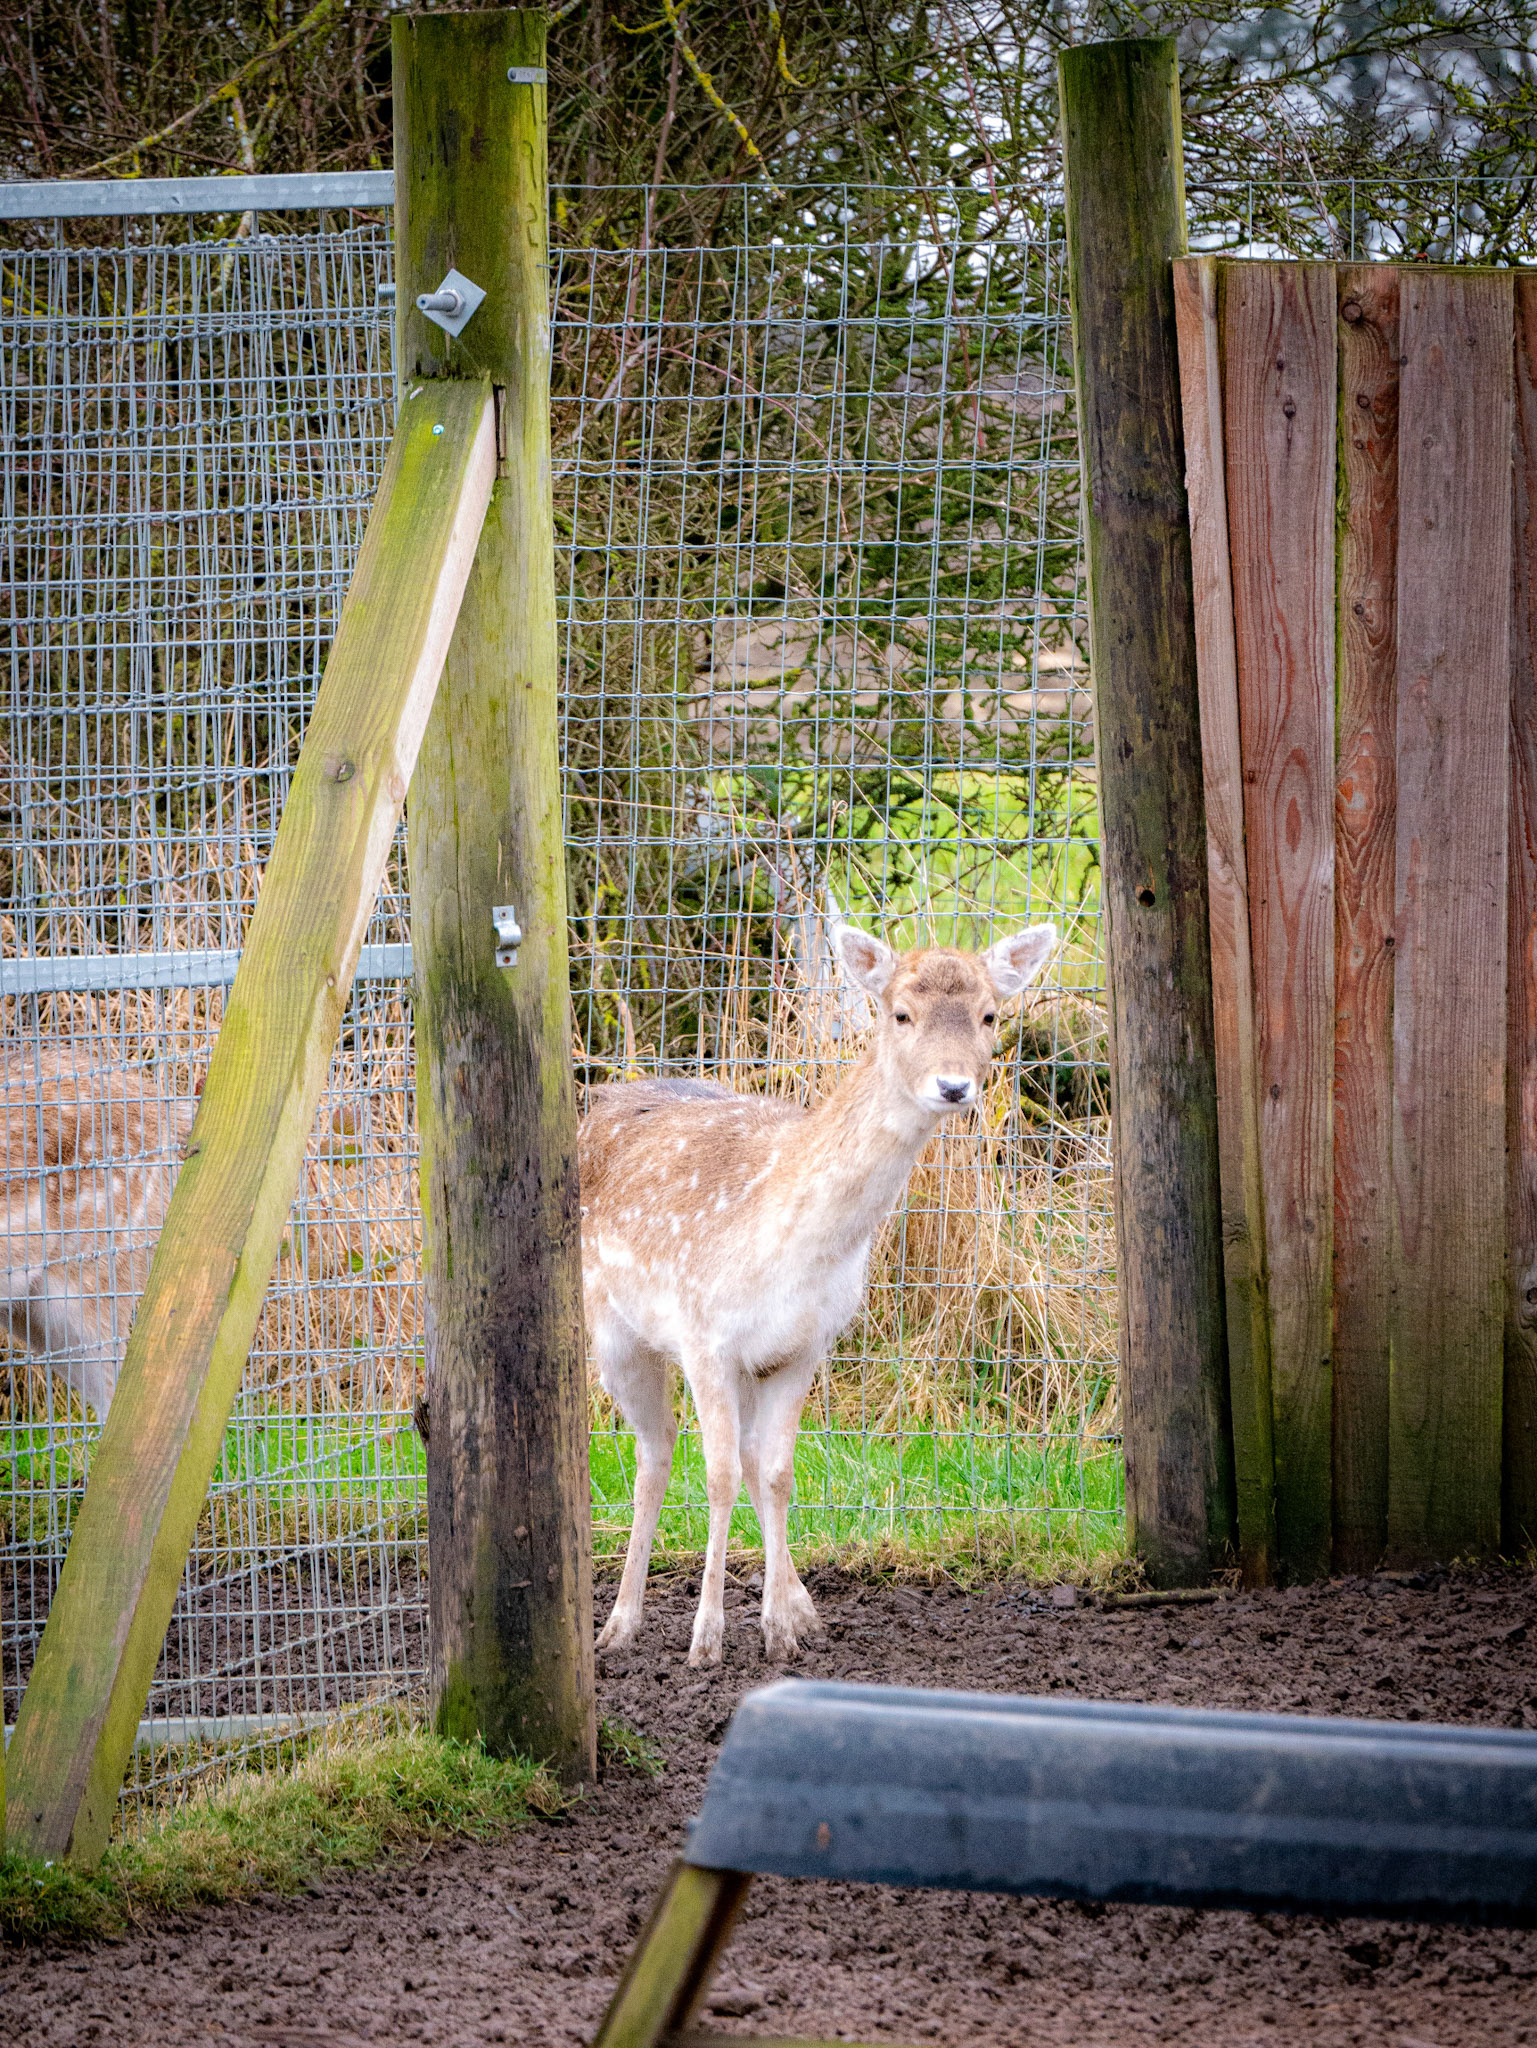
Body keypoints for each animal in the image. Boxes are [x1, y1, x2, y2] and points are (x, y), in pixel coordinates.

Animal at [582, 916, 1058, 1667]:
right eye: (900, 1013)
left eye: (989, 1015)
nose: (954, 1086)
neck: (793, 1249)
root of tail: (597, 1098)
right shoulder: (704, 1335)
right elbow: (717, 1474)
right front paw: (706, 1640)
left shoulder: (802, 1347)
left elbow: (775, 1471)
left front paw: (780, 1628)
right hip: (613, 1330)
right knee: (656, 1452)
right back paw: (619, 1625)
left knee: (729, 1456)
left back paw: (796, 1609)